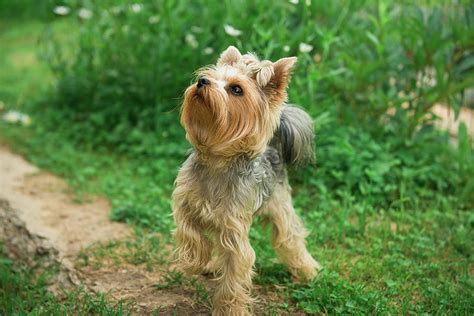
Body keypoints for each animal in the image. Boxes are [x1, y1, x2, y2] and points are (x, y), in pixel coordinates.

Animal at [172, 45, 320, 314]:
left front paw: (229, 309)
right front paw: (195, 261)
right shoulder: (184, 204)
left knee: (291, 236)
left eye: (236, 89)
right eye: (210, 75)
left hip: (280, 204)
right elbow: (190, 232)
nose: (202, 81)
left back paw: (307, 271)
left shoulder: (234, 231)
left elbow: (234, 274)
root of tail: (273, 147)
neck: (217, 161)